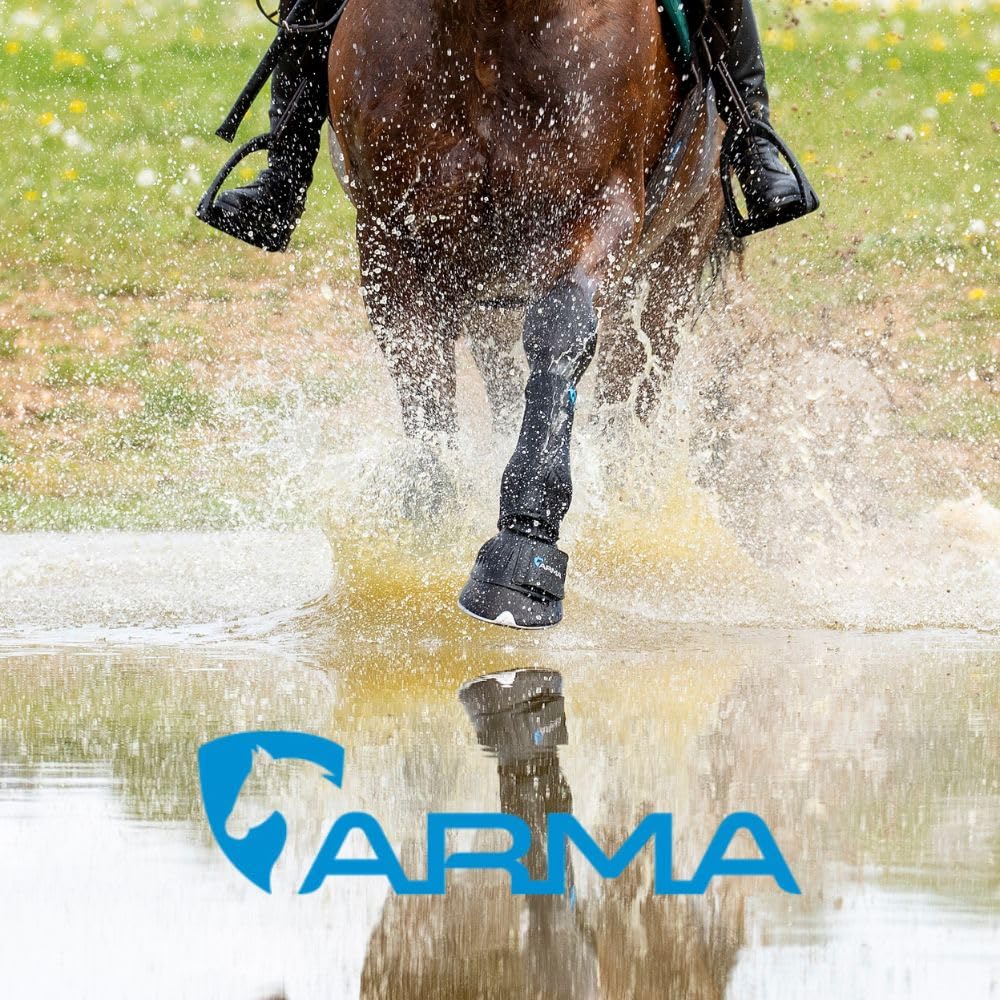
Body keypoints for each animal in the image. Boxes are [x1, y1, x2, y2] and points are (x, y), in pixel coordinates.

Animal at [326, 0, 728, 628]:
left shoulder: (603, 209)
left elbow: (561, 335)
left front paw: (524, 548)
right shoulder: (390, 236)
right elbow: (422, 380)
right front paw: (423, 529)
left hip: (677, 253)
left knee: (631, 393)